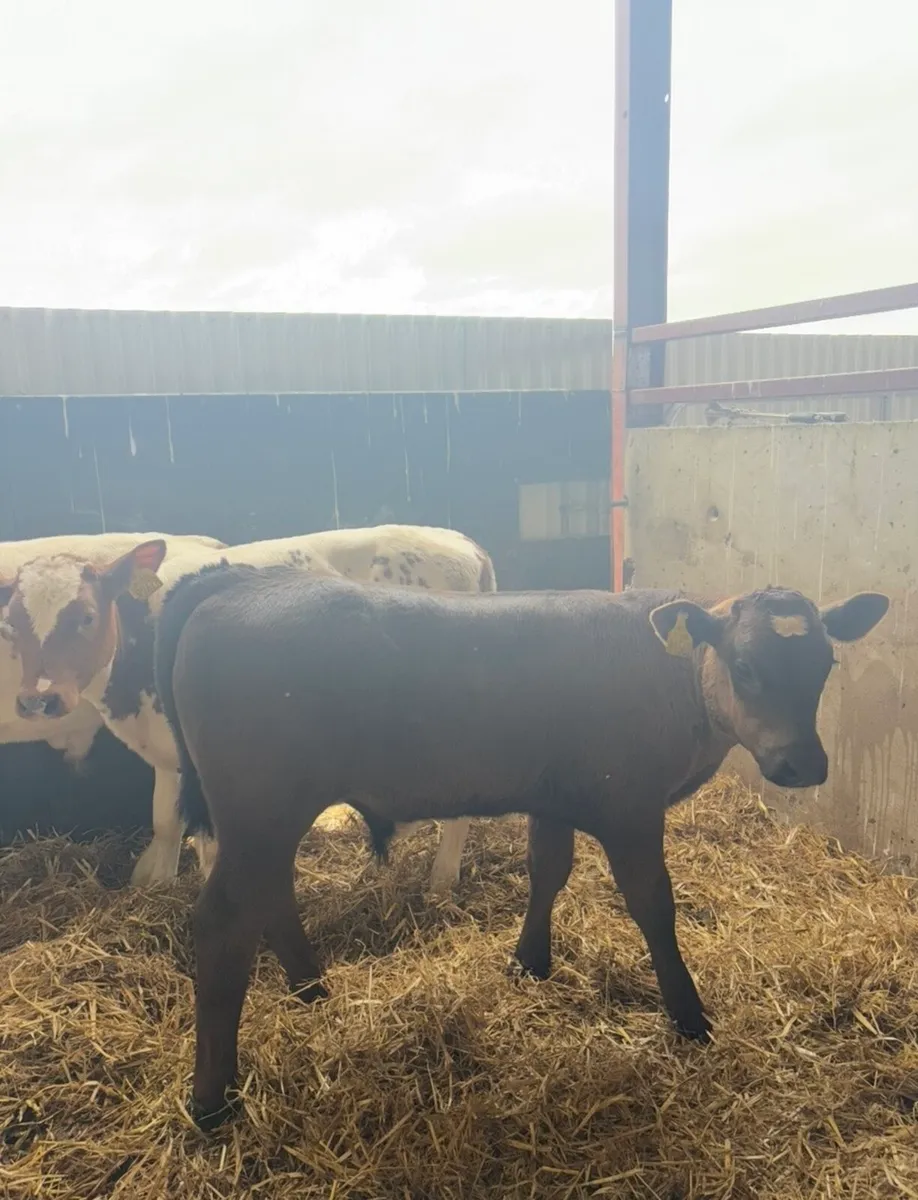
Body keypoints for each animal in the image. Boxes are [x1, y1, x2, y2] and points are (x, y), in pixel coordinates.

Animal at [0, 525, 496, 889]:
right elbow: (165, 822)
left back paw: (441, 879)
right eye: (12, 625)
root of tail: (462, 543)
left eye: (85, 617)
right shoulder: (168, 751)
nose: (38, 698)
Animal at [147, 556, 887, 1128]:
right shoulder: (629, 807)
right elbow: (653, 905)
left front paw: (529, 962)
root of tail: (234, 585)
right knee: (223, 924)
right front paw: (688, 1016)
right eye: (745, 664)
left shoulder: (552, 796)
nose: (804, 765)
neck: (671, 677)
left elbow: (547, 869)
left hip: (263, 821)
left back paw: (312, 989)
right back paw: (212, 1101)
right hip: (260, 813)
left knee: (269, 899)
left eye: (825, 662)